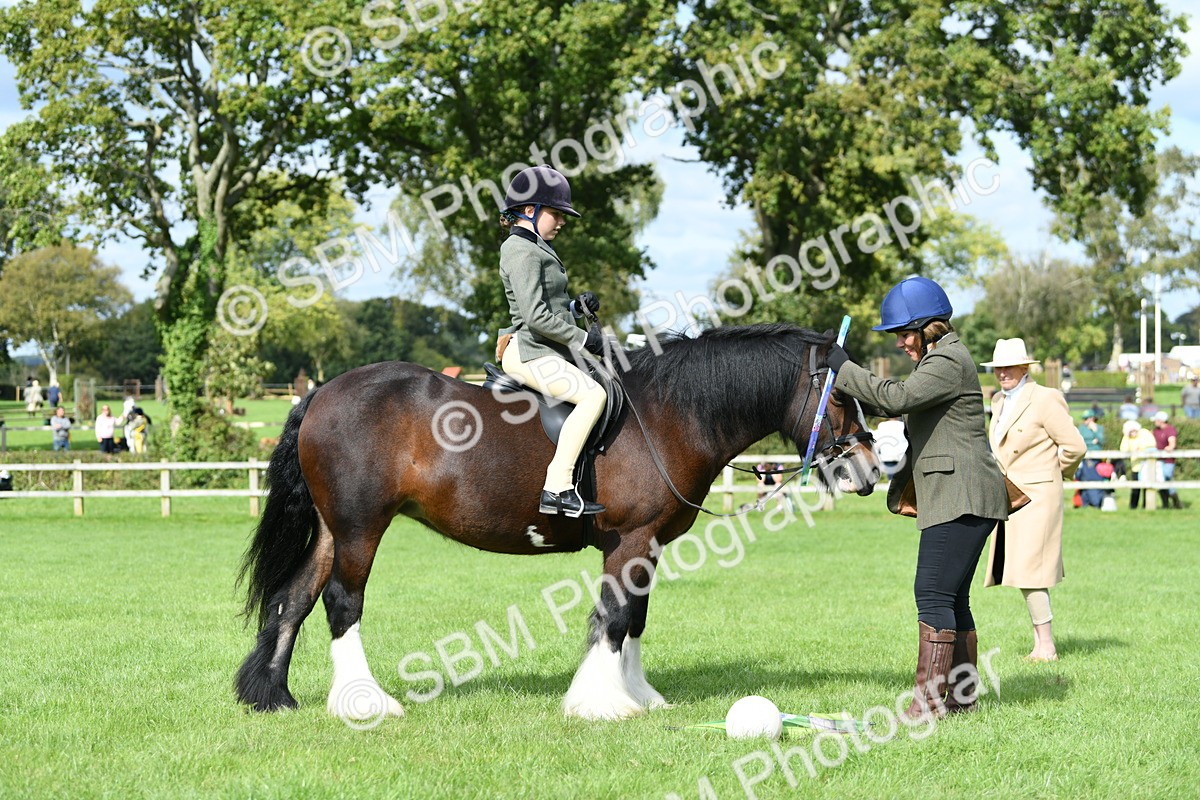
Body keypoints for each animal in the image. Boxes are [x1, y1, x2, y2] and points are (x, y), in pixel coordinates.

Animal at [235, 322, 883, 722]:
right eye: (841, 396)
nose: (871, 469)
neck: (666, 416)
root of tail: (320, 394)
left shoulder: (648, 545)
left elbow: (636, 617)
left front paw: (638, 695)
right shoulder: (630, 540)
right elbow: (615, 617)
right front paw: (601, 703)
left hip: (331, 529)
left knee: (294, 598)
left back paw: (274, 696)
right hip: (360, 528)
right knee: (341, 601)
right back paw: (366, 703)